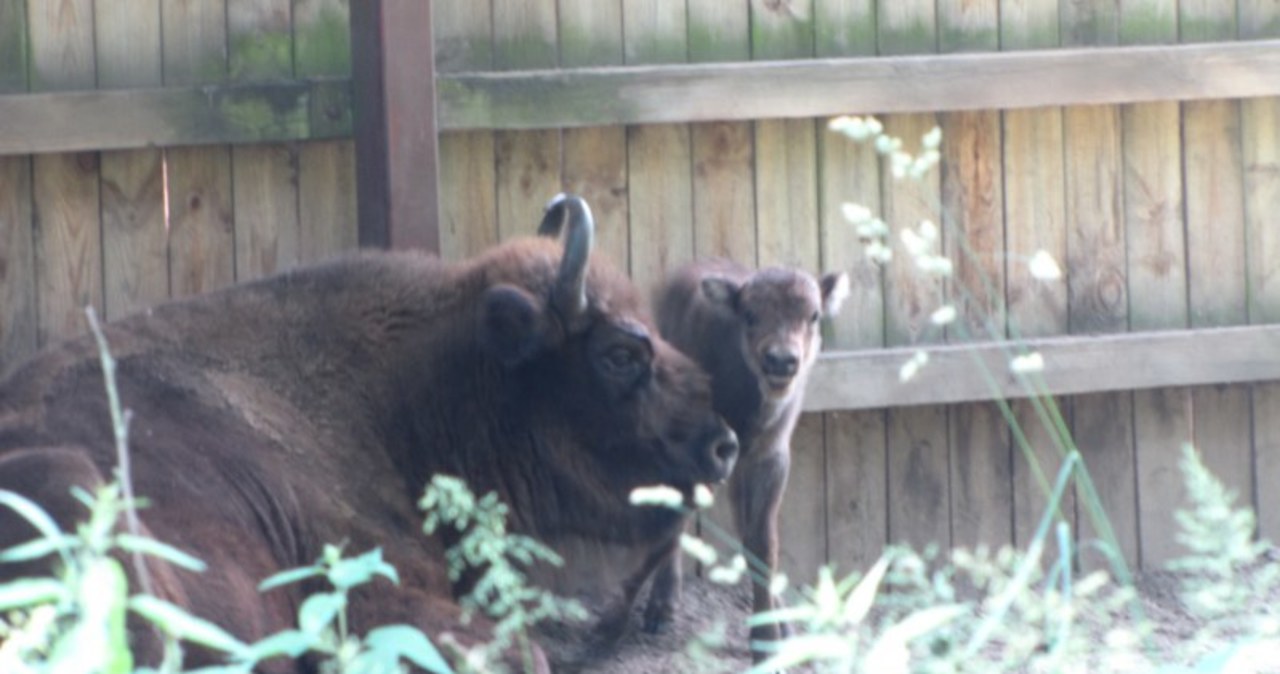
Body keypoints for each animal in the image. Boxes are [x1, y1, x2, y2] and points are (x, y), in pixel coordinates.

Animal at [650, 258, 849, 659]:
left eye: (814, 315)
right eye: (750, 314)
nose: (781, 360)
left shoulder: (768, 460)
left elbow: (762, 542)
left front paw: (769, 639)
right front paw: (661, 609)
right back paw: (662, 606)